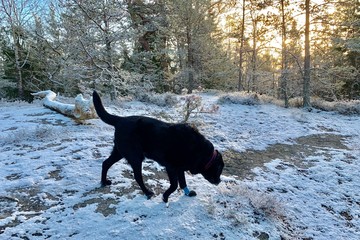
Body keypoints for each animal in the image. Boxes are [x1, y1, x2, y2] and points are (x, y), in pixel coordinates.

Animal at [91, 90, 224, 202]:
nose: (219, 181)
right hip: (135, 157)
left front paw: (188, 193)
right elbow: (174, 185)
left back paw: (103, 182)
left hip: (119, 151)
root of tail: (120, 120)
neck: (202, 152)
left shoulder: (180, 168)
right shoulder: (171, 167)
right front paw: (165, 197)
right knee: (137, 177)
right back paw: (147, 192)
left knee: (105, 163)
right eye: (219, 170)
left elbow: (183, 183)